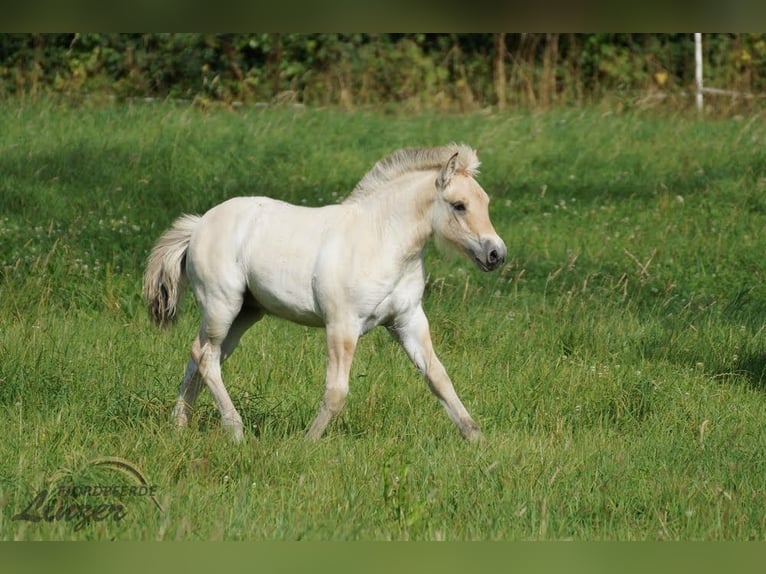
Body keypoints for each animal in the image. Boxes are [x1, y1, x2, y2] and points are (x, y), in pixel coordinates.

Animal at [142, 144, 507, 442]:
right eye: (459, 205)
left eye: (486, 202)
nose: (496, 254)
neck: (381, 240)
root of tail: (199, 225)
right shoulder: (342, 325)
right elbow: (336, 392)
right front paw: (307, 442)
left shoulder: (408, 320)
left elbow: (439, 377)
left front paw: (476, 438)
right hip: (222, 305)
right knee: (206, 357)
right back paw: (235, 430)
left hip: (245, 313)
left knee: (200, 355)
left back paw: (179, 425)